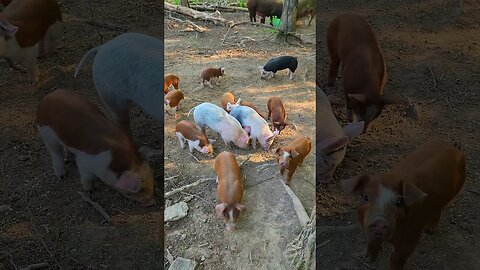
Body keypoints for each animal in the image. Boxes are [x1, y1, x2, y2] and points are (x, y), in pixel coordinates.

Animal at [342, 138, 464, 268]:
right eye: (365, 197)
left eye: (399, 202)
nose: (380, 221)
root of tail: (454, 147)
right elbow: (372, 242)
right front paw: (368, 257)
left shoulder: (411, 235)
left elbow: (397, 258)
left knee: (439, 210)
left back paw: (430, 231)